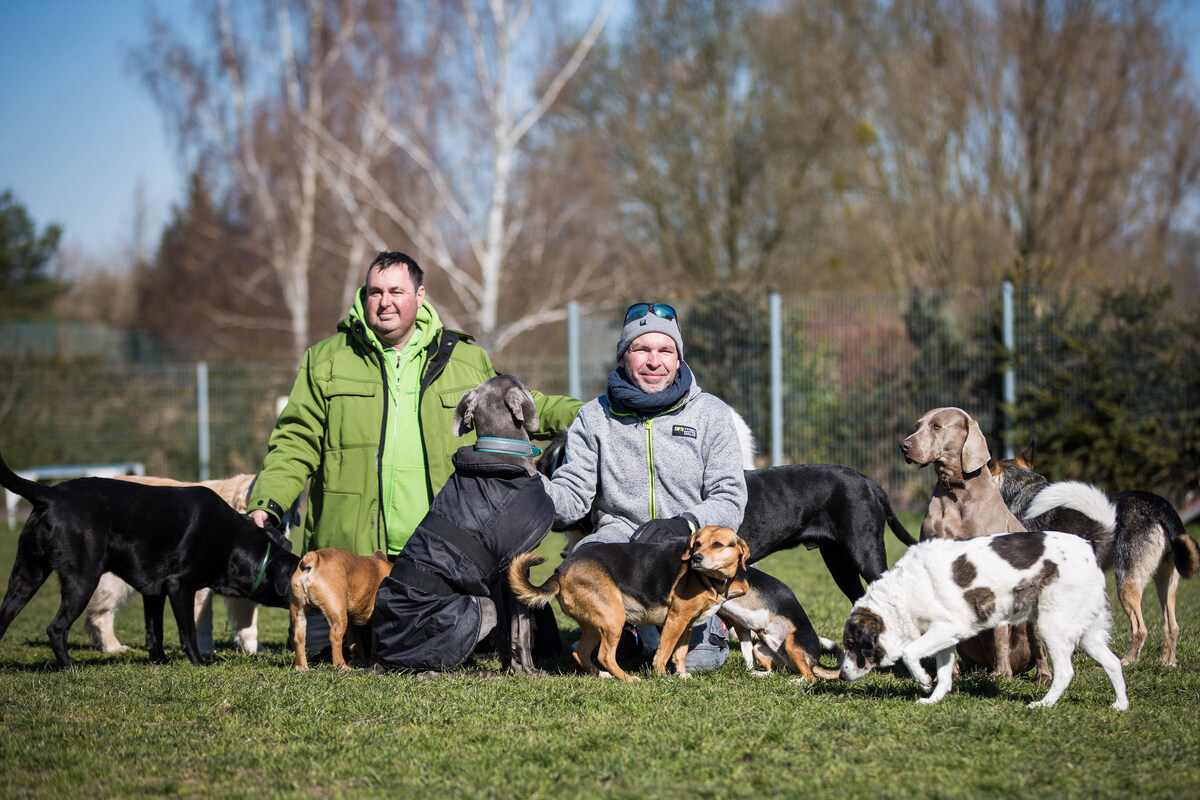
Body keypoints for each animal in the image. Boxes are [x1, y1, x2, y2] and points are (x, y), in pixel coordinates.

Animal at [0, 448, 297, 666]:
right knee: (63, 626)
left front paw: (160, 661)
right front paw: (201, 660)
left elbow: (155, 631)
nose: (285, 531)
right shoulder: (181, 587)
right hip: (85, 580)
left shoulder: (154, 592)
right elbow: (191, 630)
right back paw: (78, 664)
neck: (230, 535)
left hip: (25, 577)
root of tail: (51, 493)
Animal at [506, 525, 748, 681]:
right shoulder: (676, 620)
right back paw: (627, 678)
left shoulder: (687, 625)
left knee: (581, 652)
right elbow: (664, 652)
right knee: (604, 655)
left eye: (717, 544)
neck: (707, 577)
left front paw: (681, 675)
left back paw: (603, 675)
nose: (696, 558)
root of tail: (560, 571)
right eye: (697, 543)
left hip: (597, 623)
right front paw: (662, 677)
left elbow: (680, 653)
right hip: (614, 618)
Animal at [840, 527, 1128, 710]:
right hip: (1086, 635)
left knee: (1066, 672)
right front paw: (933, 700)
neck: (903, 593)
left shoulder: (949, 628)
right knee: (1113, 663)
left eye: (852, 646)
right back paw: (1120, 705)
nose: (840, 676)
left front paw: (922, 681)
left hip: (1051, 627)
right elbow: (944, 676)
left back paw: (1044, 704)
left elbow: (911, 653)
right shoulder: (946, 636)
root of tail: (1088, 549)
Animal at [897, 410, 1046, 686]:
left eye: (937, 426)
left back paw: (1038, 675)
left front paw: (1002, 674)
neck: (956, 490)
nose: (904, 445)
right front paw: (946, 674)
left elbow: (999, 633)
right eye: (917, 425)